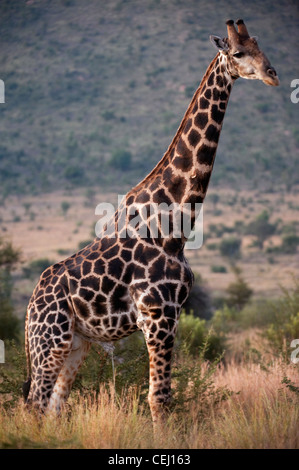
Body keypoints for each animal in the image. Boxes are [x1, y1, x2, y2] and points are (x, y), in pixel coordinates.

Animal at [22, 19, 278, 422]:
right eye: (238, 53)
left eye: (260, 46)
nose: (273, 75)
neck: (175, 227)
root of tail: (30, 304)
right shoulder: (158, 314)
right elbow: (159, 398)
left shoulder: (169, 315)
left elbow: (162, 397)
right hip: (50, 339)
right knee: (35, 403)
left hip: (77, 343)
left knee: (53, 406)